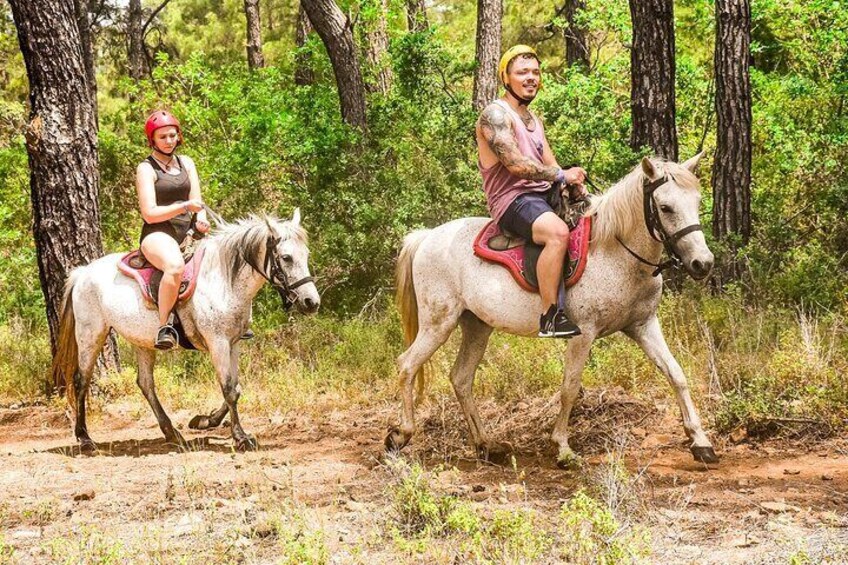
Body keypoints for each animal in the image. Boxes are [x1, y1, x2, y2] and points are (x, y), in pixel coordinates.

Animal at [51, 209, 320, 452]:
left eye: (306, 255)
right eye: (286, 257)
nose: (311, 302)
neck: (223, 280)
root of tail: (82, 273)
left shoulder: (233, 343)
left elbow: (236, 387)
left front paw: (205, 421)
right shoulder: (218, 343)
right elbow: (229, 389)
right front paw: (241, 438)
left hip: (142, 342)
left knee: (145, 383)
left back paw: (172, 433)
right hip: (91, 335)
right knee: (81, 380)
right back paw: (85, 438)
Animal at [388, 155, 720, 468]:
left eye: (697, 202)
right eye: (665, 207)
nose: (702, 263)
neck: (616, 252)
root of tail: (427, 236)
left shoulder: (644, 325)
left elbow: (676, 374)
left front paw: (701, 442)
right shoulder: (583, 334)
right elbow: (570, 388)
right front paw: (562, 449)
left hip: (477, 326)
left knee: (460, 378)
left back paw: (486, 445)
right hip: (438, 323)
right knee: (407, 365)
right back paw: (400, 435)